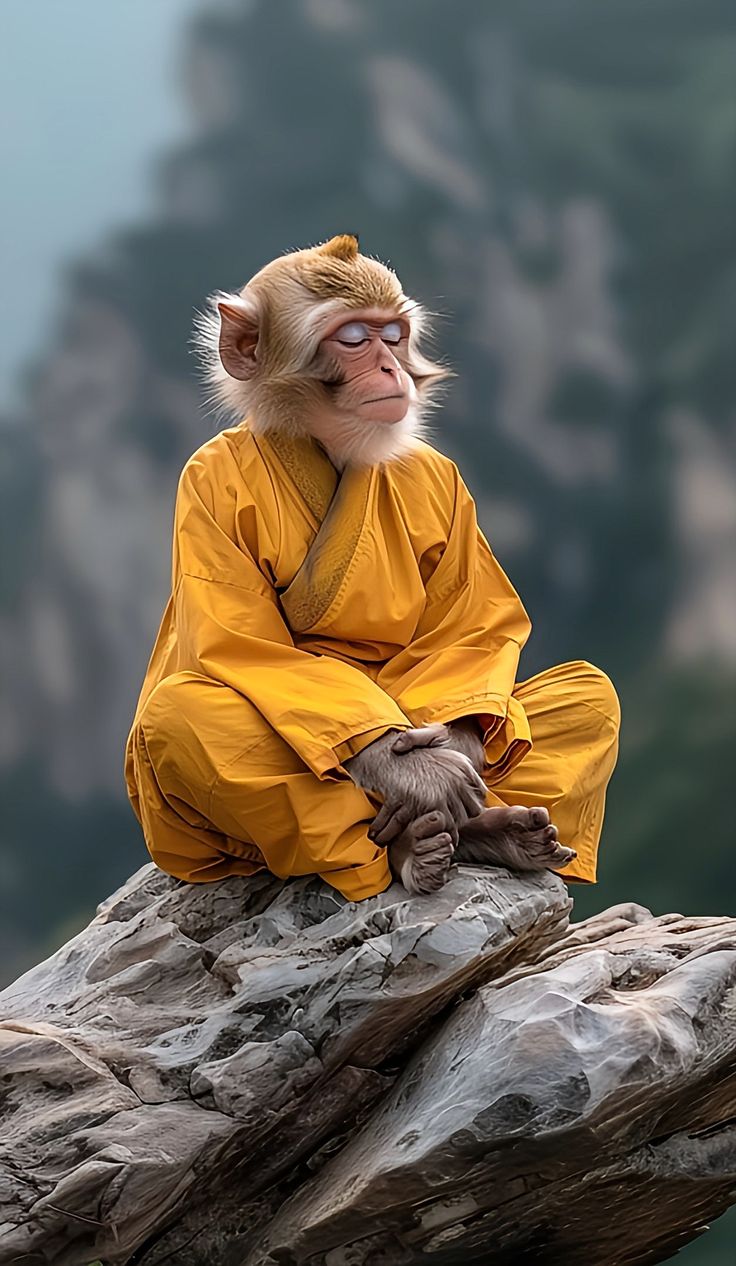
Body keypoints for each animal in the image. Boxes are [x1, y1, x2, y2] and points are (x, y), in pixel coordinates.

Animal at [125, 234, 619, 901]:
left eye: (393, 334)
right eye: (355, 338)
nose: (390, 367)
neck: (330, 448)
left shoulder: (446, 481)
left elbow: (468, 626)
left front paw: (451, 752)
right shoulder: (203, 484)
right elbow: (247, 646)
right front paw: (417, 772)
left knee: (592, 691)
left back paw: (494, 833)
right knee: (184, 715)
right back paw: (419, 845)